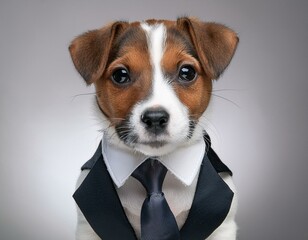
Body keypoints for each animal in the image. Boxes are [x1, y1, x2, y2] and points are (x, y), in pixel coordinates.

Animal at [69, 17, 238, 240]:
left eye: (187, 72)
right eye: (120, 75)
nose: (155, 118)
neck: (154, 164)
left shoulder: (223, 228)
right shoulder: (87, 228)